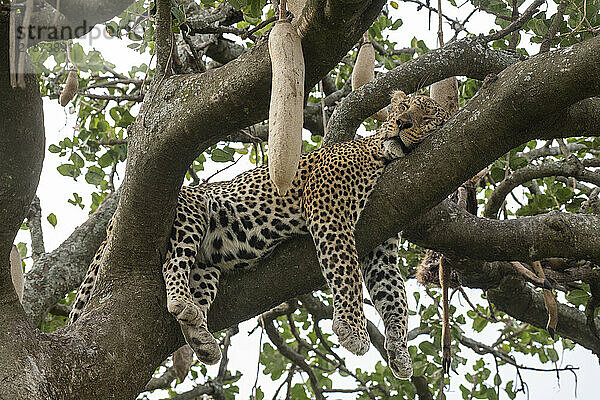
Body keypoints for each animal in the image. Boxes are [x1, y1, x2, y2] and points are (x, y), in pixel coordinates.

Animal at [68, 89, 448, 380]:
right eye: (401, 108)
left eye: (427, 118)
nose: (402, 123)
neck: (382, 156)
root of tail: (113, 223)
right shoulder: (329, 210)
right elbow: (347, 273)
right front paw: (353, 331)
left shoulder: (381, 245)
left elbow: (393, 297)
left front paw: (399, 351)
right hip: (192, 211)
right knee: (172, 263)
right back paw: (180, 302)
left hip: (207, 265)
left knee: (197, 287)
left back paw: (201, 335)